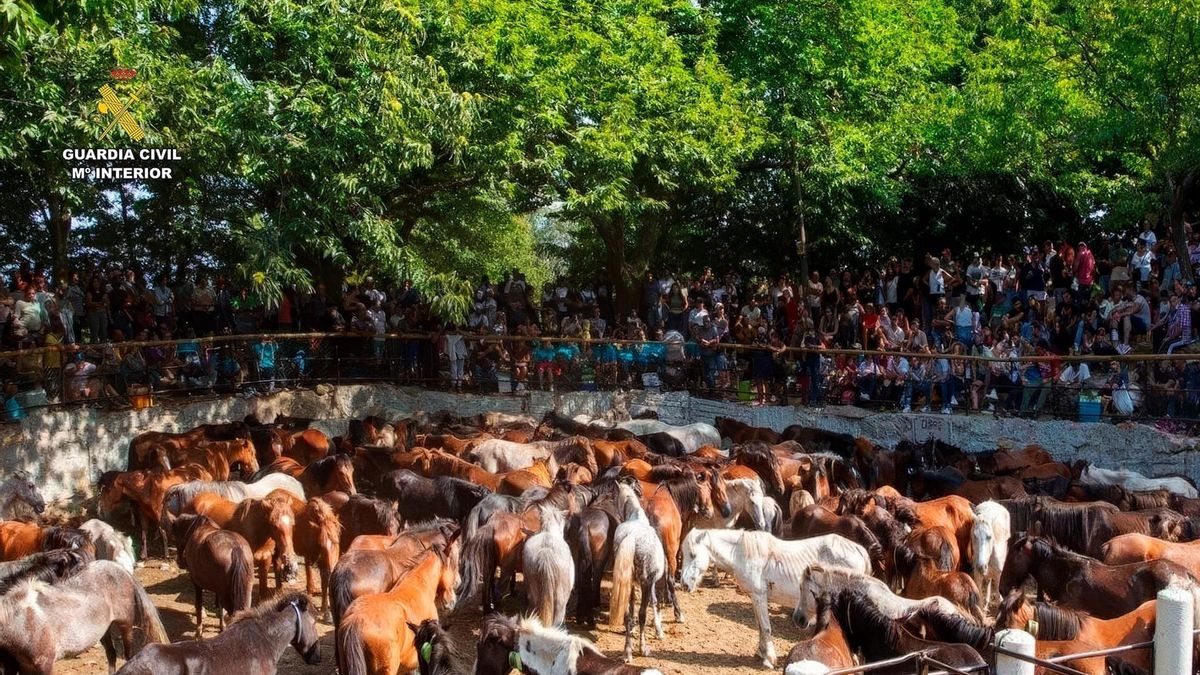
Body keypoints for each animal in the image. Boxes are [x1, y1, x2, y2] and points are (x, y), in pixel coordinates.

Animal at [0, 559, 168, 674]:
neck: (21, 620)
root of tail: (119, 568)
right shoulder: (14, 666)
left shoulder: (44, 664)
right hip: (104, 631)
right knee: (112, 655)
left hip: (125, 624)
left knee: (127, 655)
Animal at [607, 482, 666, 661]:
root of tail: (632, 537)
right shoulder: (650, 582)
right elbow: (654, 603)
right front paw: (659, 631)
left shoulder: (631, 584)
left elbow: (631, 610)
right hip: (646, 583)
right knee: (642, 614)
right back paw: (642, 648)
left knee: (627, 615)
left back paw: (627, 652)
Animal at [680, 528, 871, 668]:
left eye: (693, 554)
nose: (683, 584)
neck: (742, 554)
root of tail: (859, 550)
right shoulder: (754, 598)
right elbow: (760, 627)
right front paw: (760, 653)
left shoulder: (759, 596)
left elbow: (765, 628)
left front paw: (769, 659)